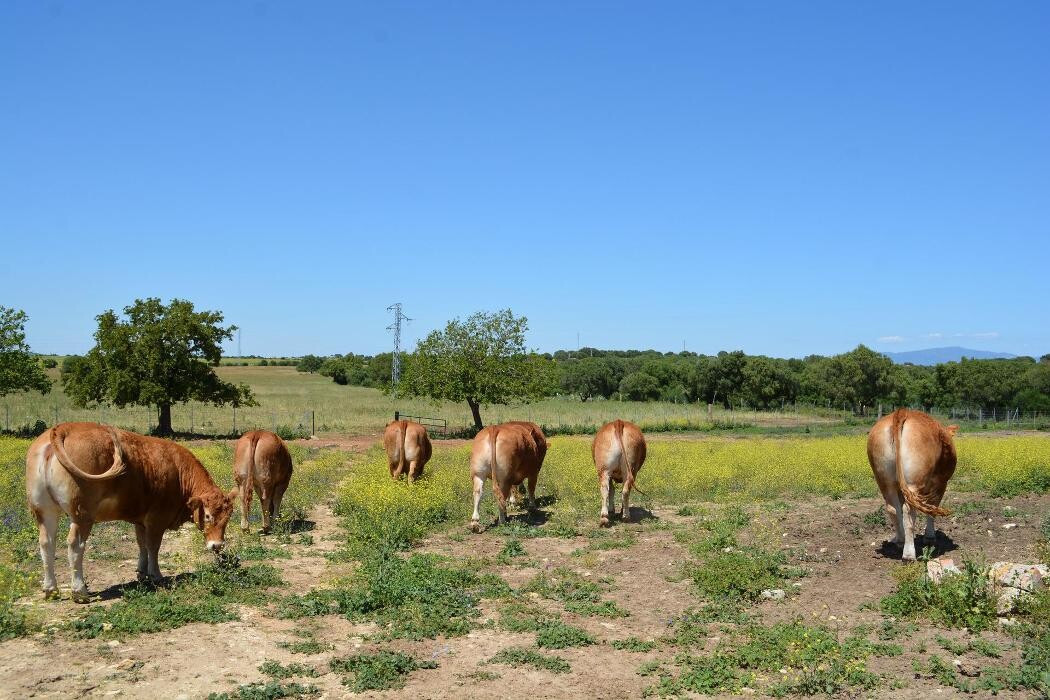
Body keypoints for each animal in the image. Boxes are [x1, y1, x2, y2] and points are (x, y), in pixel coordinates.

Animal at [25, 421, 236, 604]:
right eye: (207, 516)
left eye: (227, 519)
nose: (217, 545)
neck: (178, 471)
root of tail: (64, 427)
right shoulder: (156, 519)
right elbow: (153, 547)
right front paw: (156, 575)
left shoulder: (140, 520)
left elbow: (142, 545)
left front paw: (142, 573)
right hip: (82, 515)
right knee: (75, 545)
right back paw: (79, 591)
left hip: (44, 511)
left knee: (46, 543)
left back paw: (50, 589)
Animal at [865, 407, 957, 562]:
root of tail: (902, 412)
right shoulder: (940, 484)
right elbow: (932, 509)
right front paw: (930, 537)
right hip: (914, 483)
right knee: (909, 511)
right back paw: (908, 554)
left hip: (884, 481)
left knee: (893, 509)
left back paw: (900, 541)